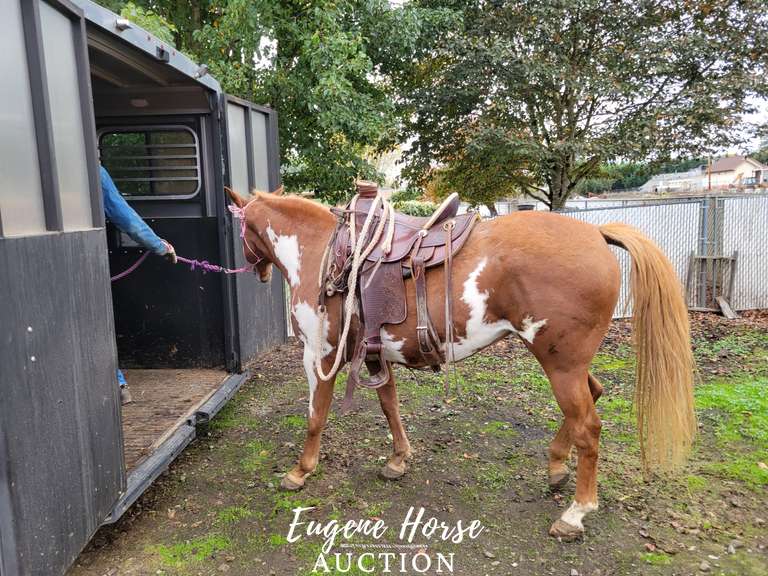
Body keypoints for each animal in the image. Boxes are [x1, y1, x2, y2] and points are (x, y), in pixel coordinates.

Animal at [225, 186, 696, 541]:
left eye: (238, 228)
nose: (253, 269)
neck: (322, 250)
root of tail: (597, 233)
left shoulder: (320, 355)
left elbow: (315, 417)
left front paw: (300, 471)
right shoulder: (376, 353)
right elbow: (390, 405)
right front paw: (398, 460)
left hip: (560, 365)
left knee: (589, 427)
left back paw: (575, 513)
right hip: (569, 363)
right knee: (593, 398)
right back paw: (557, 466)